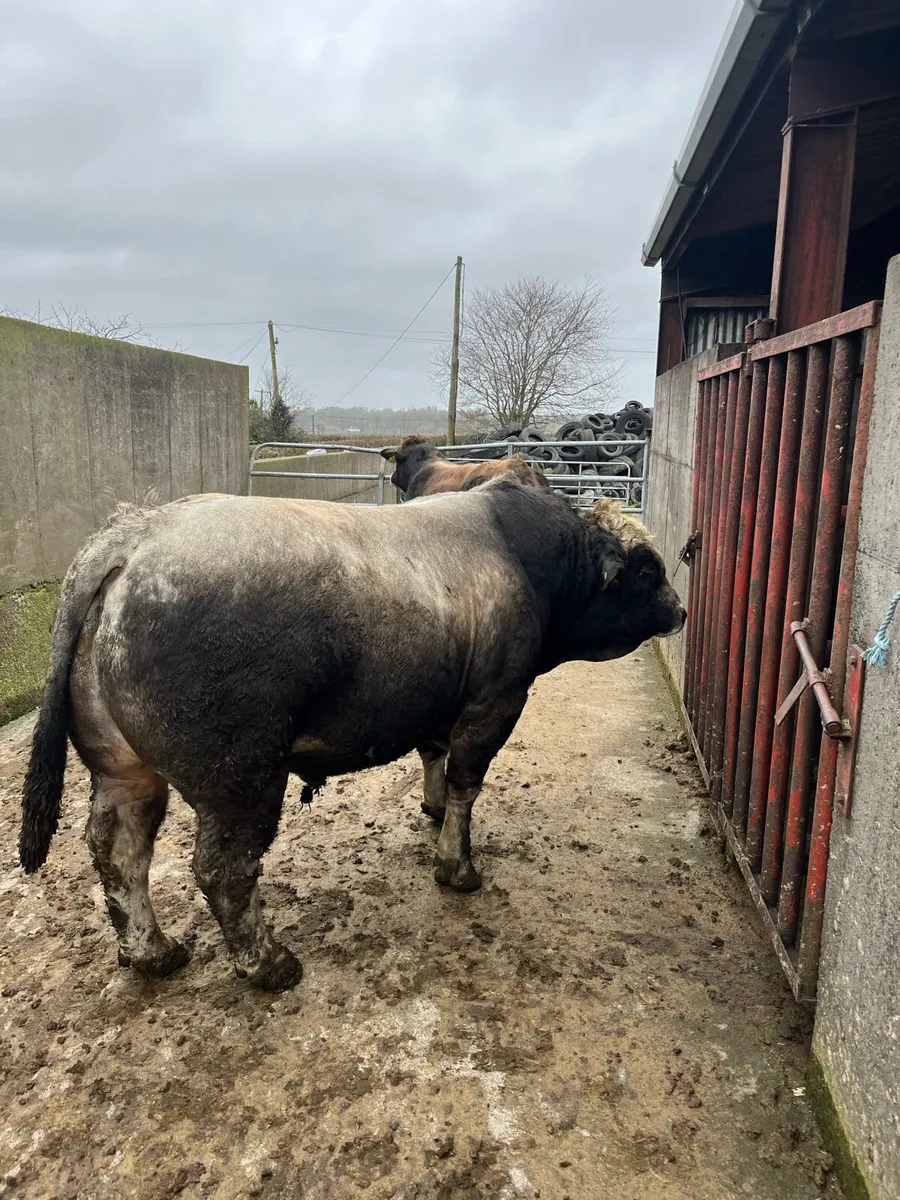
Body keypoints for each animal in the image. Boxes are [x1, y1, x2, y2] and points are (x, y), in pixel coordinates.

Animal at [19, 483, 684, 992]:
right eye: (648, 571)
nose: (679, 612)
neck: (526, 559)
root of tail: (133, 535)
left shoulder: (435, 699)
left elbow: (434, 755)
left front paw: (431, 809)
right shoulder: (494, 702)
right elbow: (467, 785)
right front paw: (457, 866)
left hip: (122, 768)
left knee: (118, 850)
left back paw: (151, 952)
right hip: (243, 777)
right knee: (222, 868)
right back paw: (267, 964)